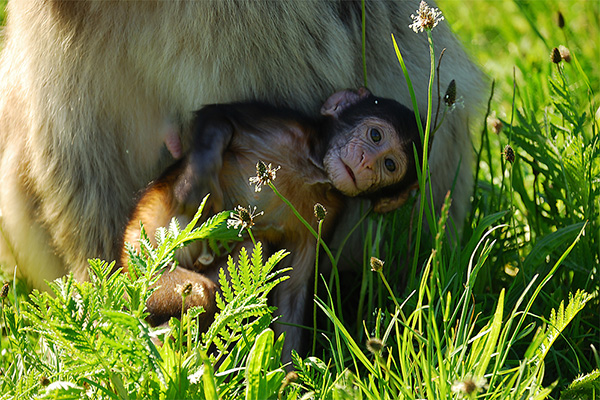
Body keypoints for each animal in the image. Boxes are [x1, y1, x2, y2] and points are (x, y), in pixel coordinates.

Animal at [122, 86, 422, 354]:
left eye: (390, 165)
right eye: (375, 135)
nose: (366, 162)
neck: (312, 168)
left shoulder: (327, 215)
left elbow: (293, 290)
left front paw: (292, 377)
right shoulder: (278, 125)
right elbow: (218, 118)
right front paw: (197, 182)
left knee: (233, 265)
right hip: (142, 269)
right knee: (195, 291)